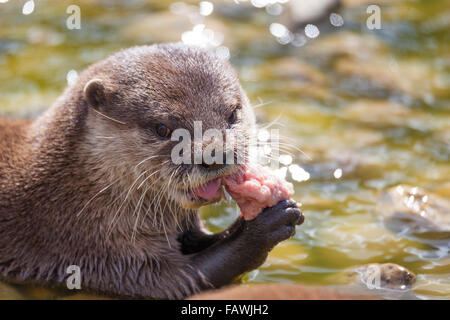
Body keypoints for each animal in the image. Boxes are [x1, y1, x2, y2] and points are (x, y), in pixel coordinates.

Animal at [0, 43, 304, 300]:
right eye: (162, 128)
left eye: (232, 114)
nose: (215, 154)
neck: (76, 195)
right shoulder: (95, 251)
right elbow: (186, 278)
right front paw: (264, 226)